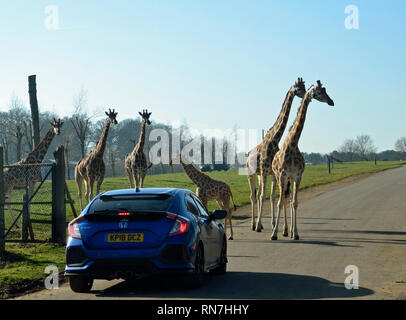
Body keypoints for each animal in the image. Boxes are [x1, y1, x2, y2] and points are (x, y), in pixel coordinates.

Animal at [246, 77, 306, 232]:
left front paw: (274, 225)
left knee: (259, 194)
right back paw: (253, 224)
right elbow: (263, 196)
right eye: (299, 88)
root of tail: (247, 156)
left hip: (260, 175)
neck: (274, 138)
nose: (305, 94)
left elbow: (272, 197)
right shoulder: (267, 171)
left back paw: (260, 223)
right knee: (253, 196)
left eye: (304, 87)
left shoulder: (272, 173)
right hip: (251, 174)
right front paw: (260, 225)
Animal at [272, 80, 334, 240]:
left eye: (326, 90)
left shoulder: (297, 176)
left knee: (288, 200)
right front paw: (274, 234)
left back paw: (288, 231)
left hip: (289, 179)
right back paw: (280, 230)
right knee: (280, 199)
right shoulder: (283, 175)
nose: (331, 102)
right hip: (278, 177)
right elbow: (280, 202)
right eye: (320, 91)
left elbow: (295, 203)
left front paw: (296, 233)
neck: (293, 145)